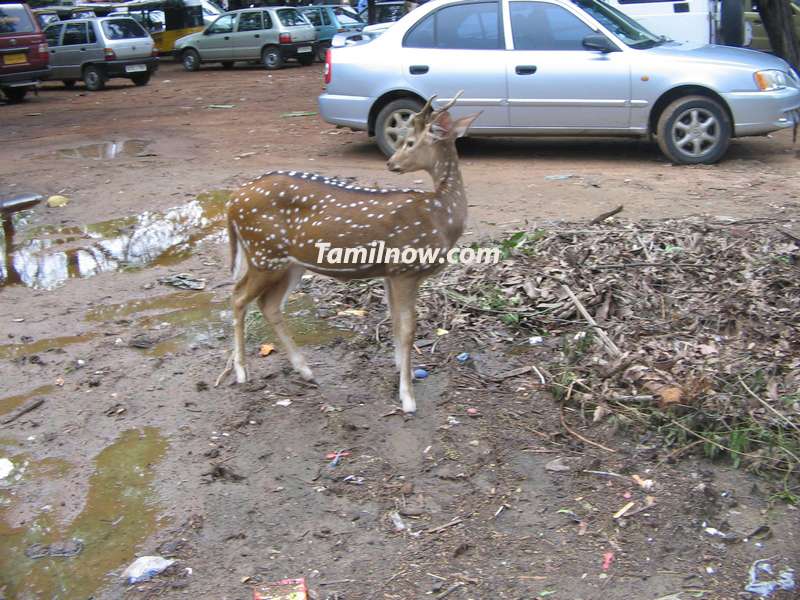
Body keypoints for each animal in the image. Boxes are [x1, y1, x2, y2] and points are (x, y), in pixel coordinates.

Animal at [214, 94, 482, 412]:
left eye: (410, 142)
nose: (391, 162)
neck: (441, 216)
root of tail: (231, 202)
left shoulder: (390, 273)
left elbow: (394, 321)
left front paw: (399, 369)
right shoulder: (405, 269)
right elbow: (408, 328)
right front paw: (407, 397)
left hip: (288, 263)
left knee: (268, 304)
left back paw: (305, 370)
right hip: (264, 253)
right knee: (238, 297)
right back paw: (242, 371)